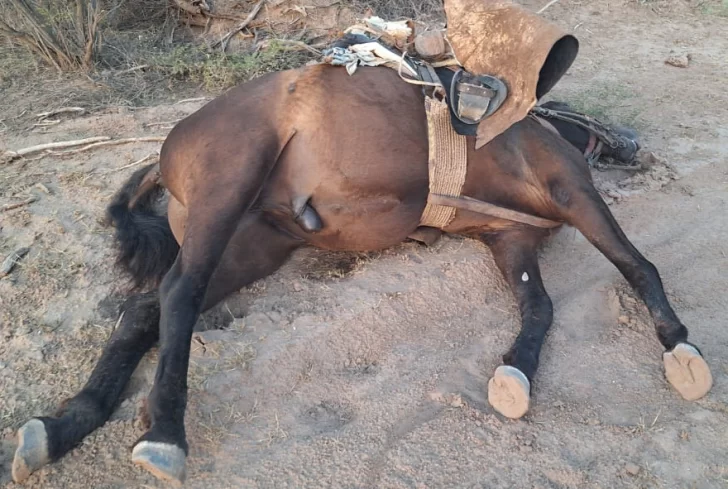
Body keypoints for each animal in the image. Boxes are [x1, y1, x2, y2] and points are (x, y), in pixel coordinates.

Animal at [11, 63, 712, 485]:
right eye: (584, 114)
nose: (632, 141)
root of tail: (169, 150)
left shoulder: (511, 242)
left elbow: (539, 310)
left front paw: (515, 373)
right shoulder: (574, 191)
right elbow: (638, 264)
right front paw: (680, 346)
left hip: (253, 245)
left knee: (144, 309)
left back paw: (66, 424)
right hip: (226, 187)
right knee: (178, 295)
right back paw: (163, 432)